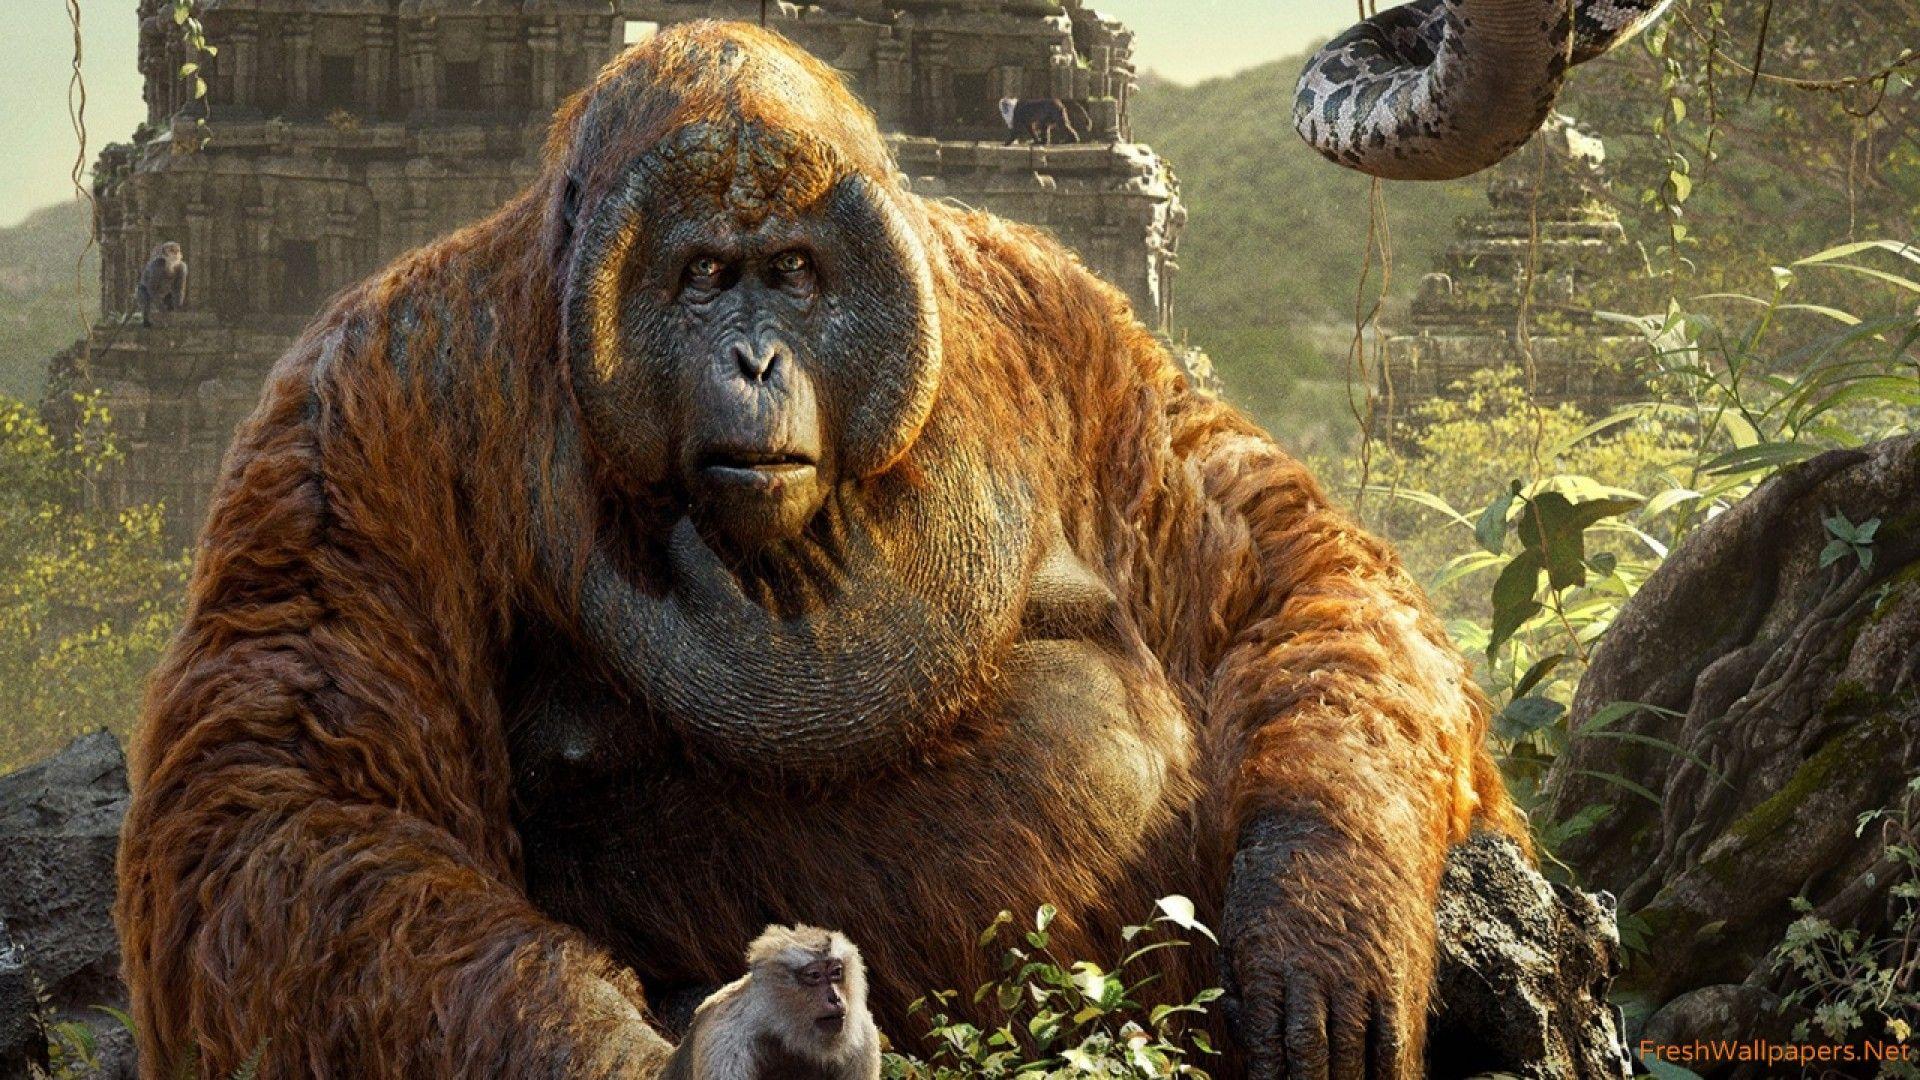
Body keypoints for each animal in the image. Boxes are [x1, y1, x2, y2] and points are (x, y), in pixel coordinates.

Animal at [662, 926, 880, 1080]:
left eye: (836, 972)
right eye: (814, 975)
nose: (835, 998)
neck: (779, 1030)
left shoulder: (864, 1036)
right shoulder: (725, 1046)